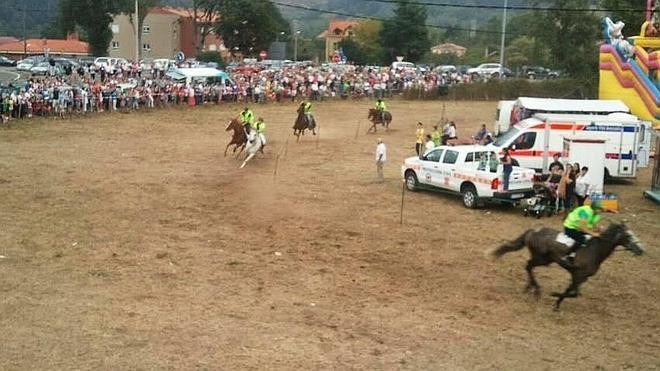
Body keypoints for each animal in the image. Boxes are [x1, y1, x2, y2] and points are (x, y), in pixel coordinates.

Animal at [490, 224, 644, 310]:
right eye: (629, 236)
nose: (641, 250)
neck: (595, 250)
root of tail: (533, 231)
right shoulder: (578, 275)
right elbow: (573, 293)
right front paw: (555, 297)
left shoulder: (580, 277)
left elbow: (573, 292)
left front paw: (557, 302)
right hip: (542, 258)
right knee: (528, 266)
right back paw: (536, 290)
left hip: (545, 259)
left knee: (529, 267)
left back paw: (530, 287)